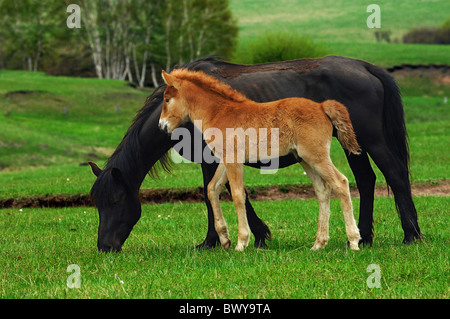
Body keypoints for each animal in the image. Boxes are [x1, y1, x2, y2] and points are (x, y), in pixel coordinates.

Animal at [89, 56, 422, 254]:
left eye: (116, 201)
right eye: (97, 204)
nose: (105, 247)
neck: (216, 109)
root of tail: (368, 67)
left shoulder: (216, 158)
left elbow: (228, 195)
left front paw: (231, 240)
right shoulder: (222, 159)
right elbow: (215, 191)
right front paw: (230, 238)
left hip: (368, 140)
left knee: (390, 176)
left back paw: (408, 236)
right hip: (345, 147)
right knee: (362, 180)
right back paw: (360, 238)